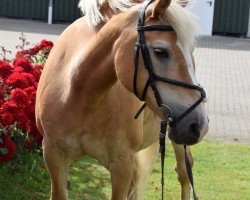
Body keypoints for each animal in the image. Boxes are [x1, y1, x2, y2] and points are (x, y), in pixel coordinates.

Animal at [34, 0, 207, 199]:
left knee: (184, 173)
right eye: (160, 52)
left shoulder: (122, 164)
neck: (80, 96)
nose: (200, 125)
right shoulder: (54, 156)